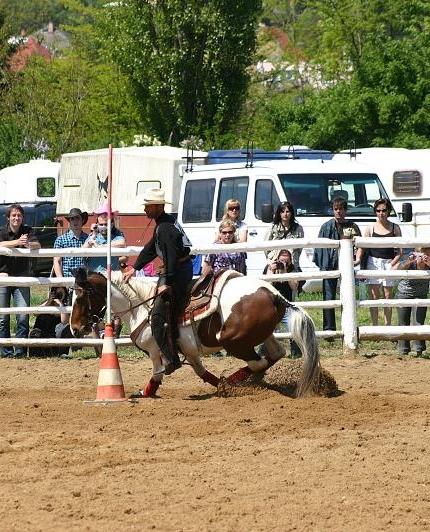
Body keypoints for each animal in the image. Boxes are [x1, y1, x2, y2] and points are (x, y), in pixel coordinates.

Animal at [70, 268, 320, 396]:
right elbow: (201, 372)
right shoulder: (189, 351)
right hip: (263, 334)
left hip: (232, 341)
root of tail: (274, 294)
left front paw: (145, 392)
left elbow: (158, 373)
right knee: (275, 354)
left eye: (81, 297)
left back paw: (235, 383)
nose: (75, 328)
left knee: (258, 362)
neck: (142, 304)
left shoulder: (156, 350)